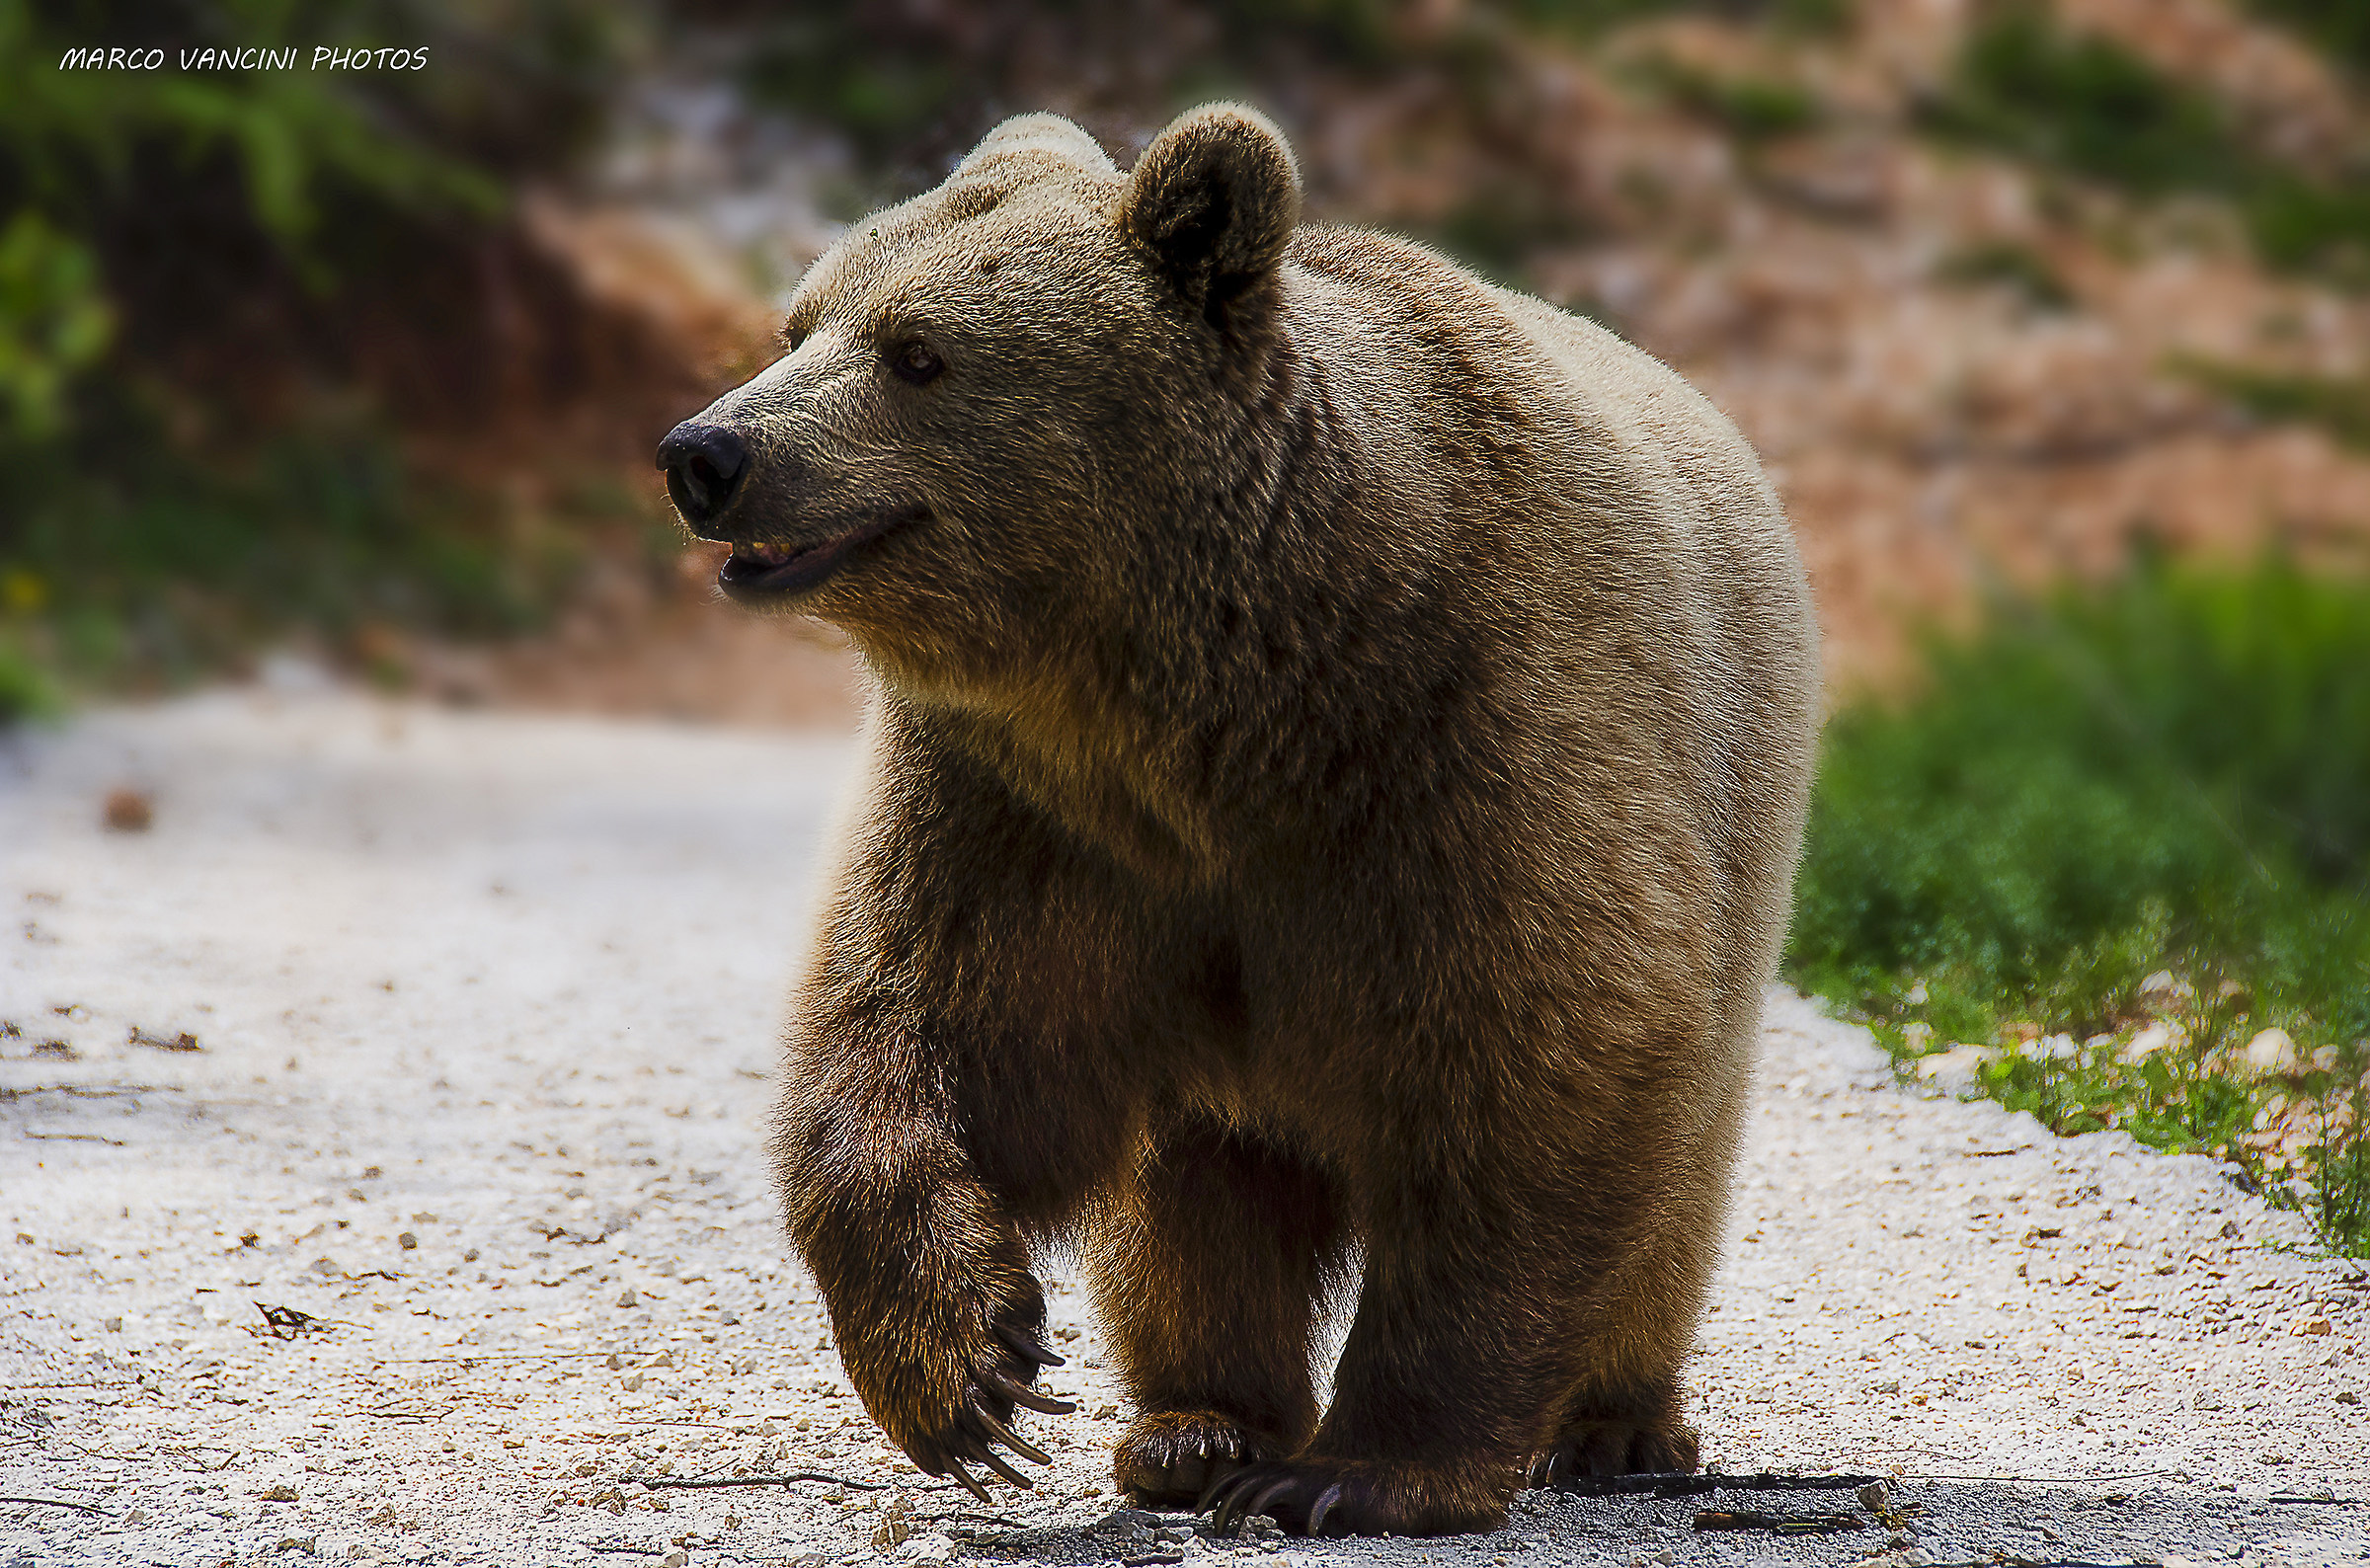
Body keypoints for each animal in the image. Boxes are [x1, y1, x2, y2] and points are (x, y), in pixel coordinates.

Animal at [654, 103, 1821, 1537]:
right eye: (798, 324)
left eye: (917, 351)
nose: (707, 454)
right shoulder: (1025, 807)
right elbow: (928, 1023)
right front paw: (971, 1368)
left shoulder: (1477, 739)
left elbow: (1544, 1055)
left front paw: (1366, 1468)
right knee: (1194, 1199)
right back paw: (1196, 1427)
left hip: (1737, 821)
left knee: (1671, 1181)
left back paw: (1612, 1425)